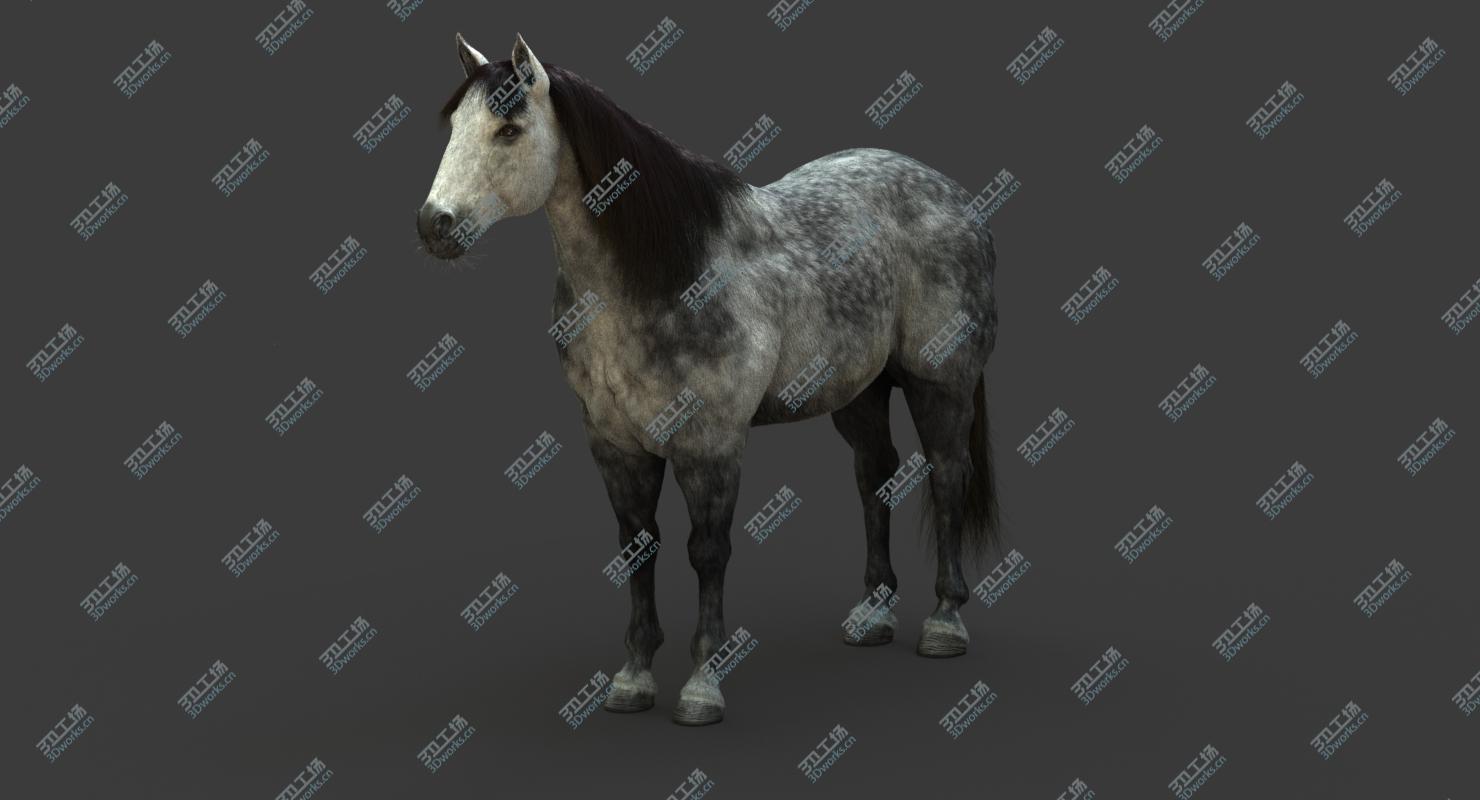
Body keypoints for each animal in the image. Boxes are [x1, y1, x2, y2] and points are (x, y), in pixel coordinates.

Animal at [417, 33, 1000, 726]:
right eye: (455, 124)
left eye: (509, 129)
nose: (433, 225)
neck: (664, 273)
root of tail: (955, 197)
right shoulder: (615, 444)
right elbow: (638, 545)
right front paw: (633, 679)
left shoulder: (711, 443)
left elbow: (707, 550)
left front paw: (702, 685)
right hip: (858, 391)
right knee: (875, 476)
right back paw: (873, 614)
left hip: (941, 380)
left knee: (947, 475)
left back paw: (944, 622)